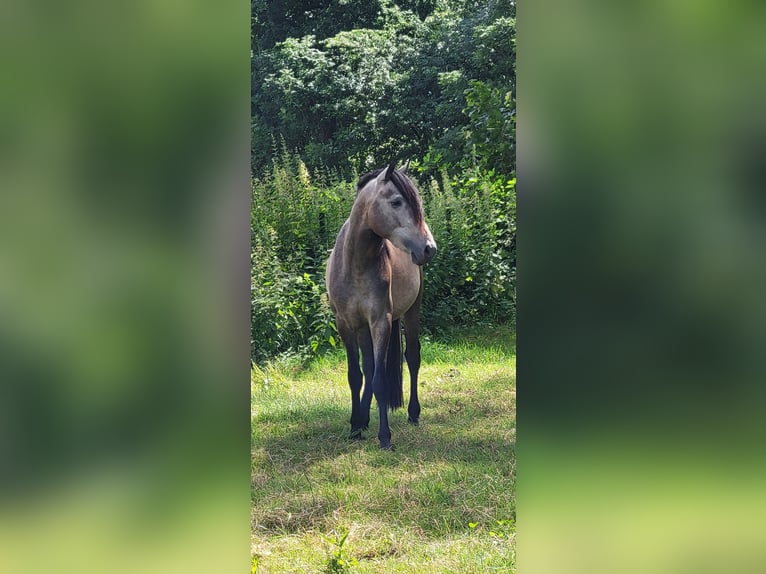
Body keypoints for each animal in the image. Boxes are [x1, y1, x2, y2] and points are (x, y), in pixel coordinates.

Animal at [326, 160, 438, 452]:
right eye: (397, 202)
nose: (429, 248)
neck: (355, 264)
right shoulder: (346, 323)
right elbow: (357, 375)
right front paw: (355, 426)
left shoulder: (380, 320)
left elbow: (379, 379)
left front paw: (384, 436)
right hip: (364, 328)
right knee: (369, 367)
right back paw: (363, 419)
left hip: (411, 312)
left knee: (412, 358)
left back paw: (413, 413)